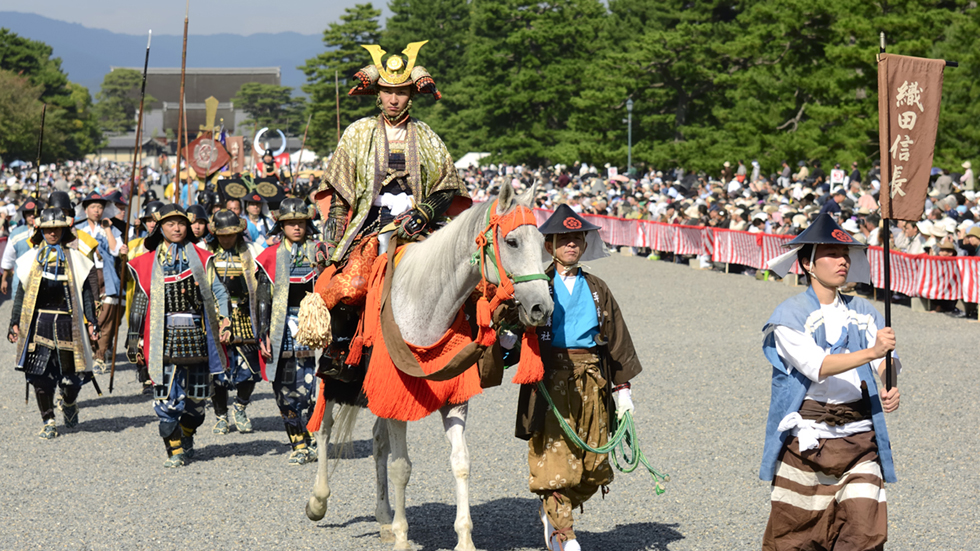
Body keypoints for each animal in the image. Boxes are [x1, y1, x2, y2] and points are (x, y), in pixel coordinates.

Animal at [306, 185, 552, 551]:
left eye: (542, 242)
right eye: (512, 242)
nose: (542, 308)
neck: (426, 306)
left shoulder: (452, 399)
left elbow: (461, 463)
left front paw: (464, 540)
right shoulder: (396, 396)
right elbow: (401, 467)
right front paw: (402, 538)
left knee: (377, 442)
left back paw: (383, 517)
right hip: (328, 376)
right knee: (324, 427)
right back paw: (319, 501)